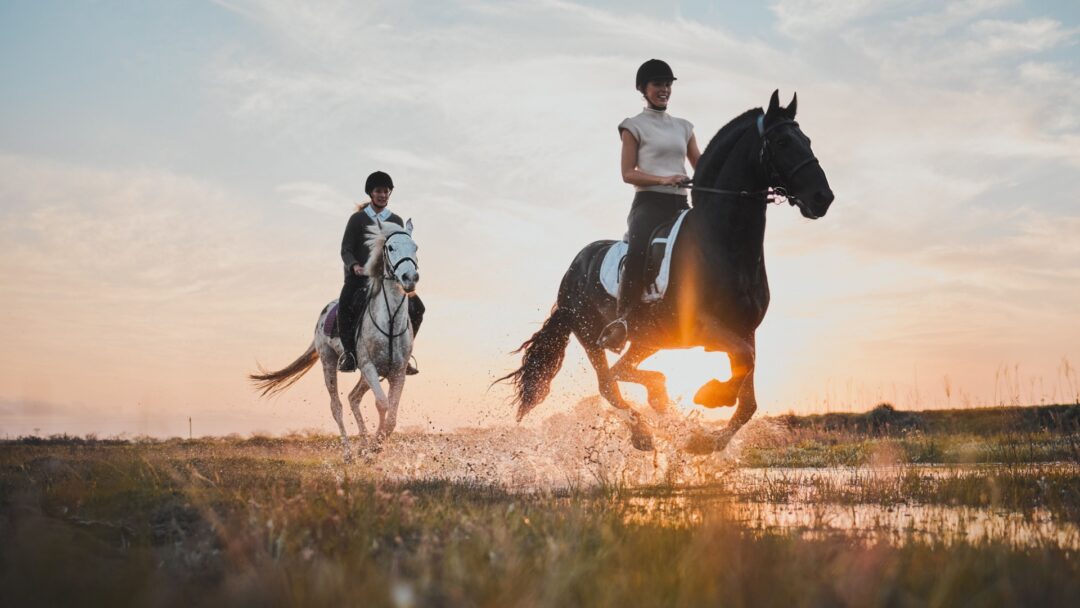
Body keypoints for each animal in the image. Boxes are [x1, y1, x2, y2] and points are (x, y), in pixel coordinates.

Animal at [249, 219, 420, 461]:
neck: (390, 319)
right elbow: (382, 404)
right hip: (330, 362)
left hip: (370, 373)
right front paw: (373, 449)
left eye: (415, 247)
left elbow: (392, 418)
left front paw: (373, 448)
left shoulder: (398, 372)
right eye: (390, 247)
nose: (410, 278)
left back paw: (362, 446)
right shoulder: (368, 366)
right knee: (336, 406)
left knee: (353, 398)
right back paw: (349, 453)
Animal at [497, 91, 834, 454]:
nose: (823, 197)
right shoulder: (703, 326)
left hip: (648, 338)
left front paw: (704, 440)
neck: (722, 242)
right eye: (783, 141)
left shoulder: (745, 330)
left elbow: (748, 395)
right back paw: (645, 429)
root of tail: (572, 269)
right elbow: (743, 367)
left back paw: (658, 401)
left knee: (621, 371)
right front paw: (712, 397)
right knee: (609, 381)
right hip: (592, 335)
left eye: (807, 140)